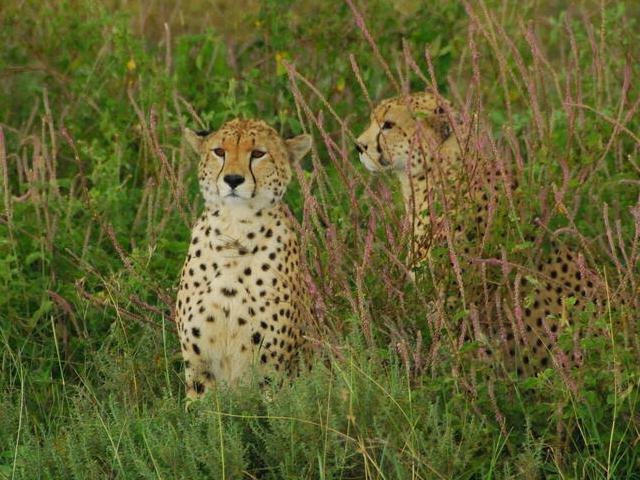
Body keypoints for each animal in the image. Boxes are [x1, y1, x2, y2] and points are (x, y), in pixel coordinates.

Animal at [178, 117, 312, 398]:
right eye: (219, 151)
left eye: (258, 154)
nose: (233, 179)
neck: (235, 233)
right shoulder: (198, 368)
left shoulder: (273, 373)